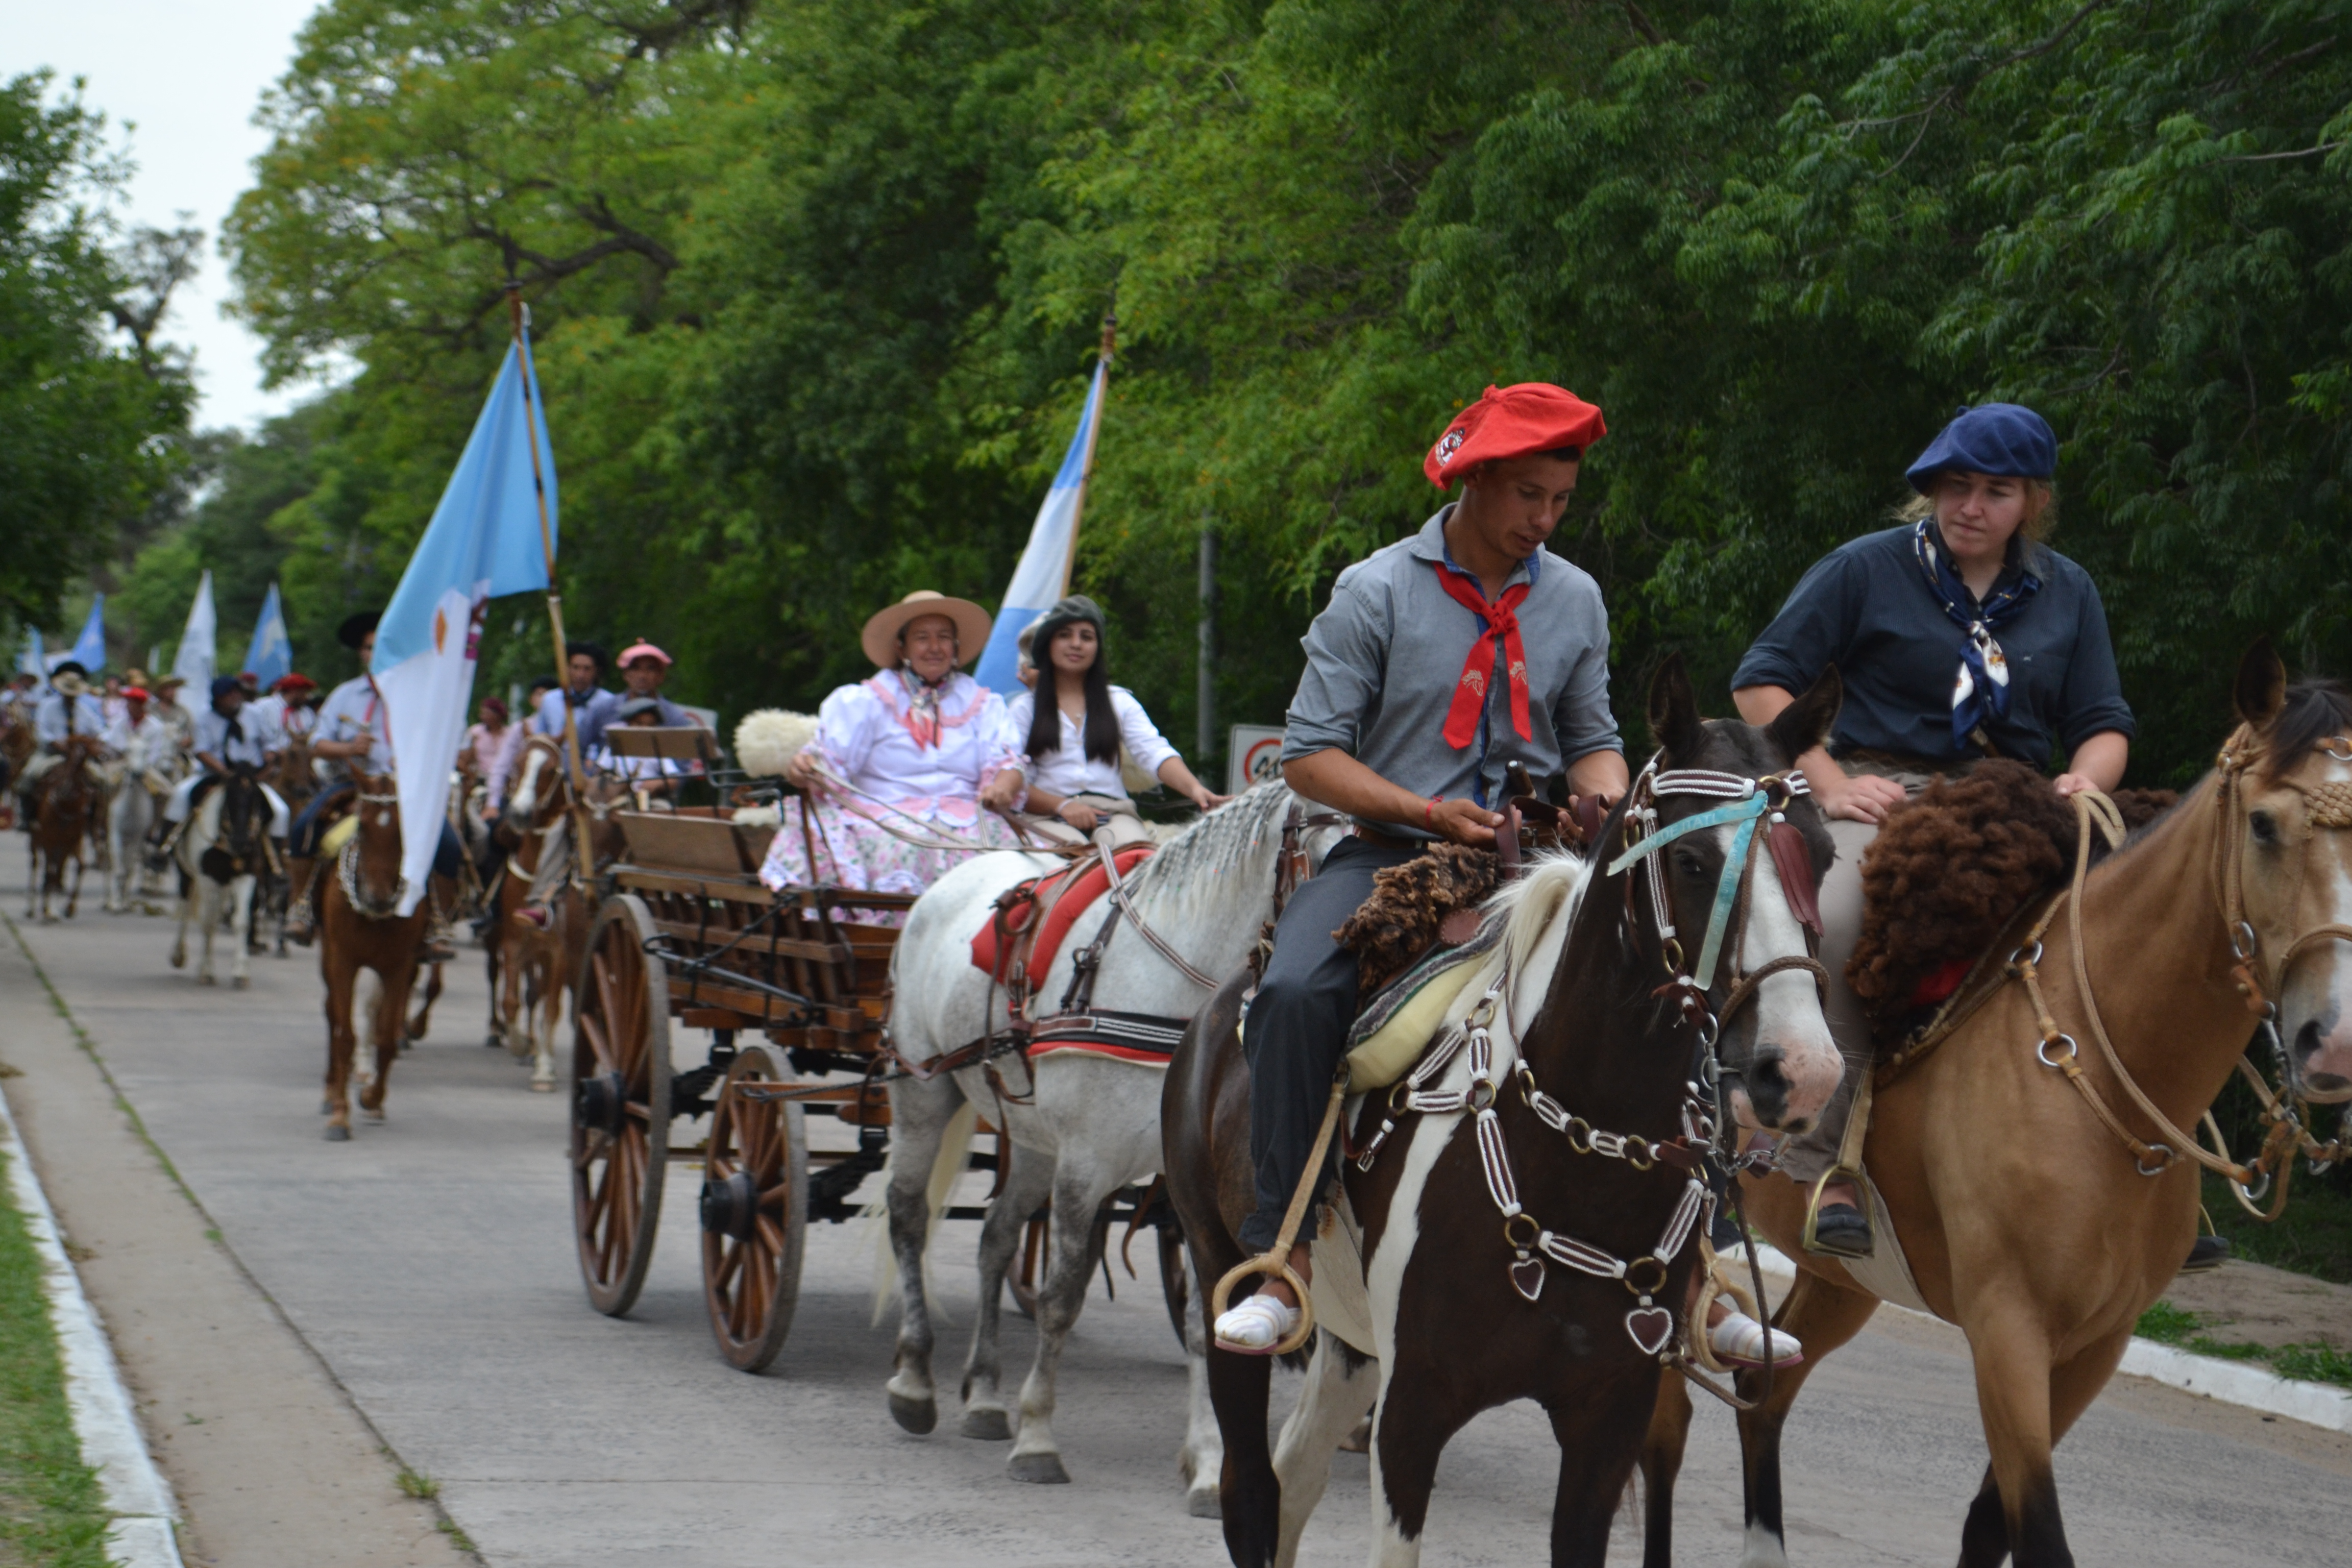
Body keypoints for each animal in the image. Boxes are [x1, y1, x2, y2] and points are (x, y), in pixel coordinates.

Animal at [1166, 658, 1844, 1568]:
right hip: (1221, 1272)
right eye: (1695, 862)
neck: (1579, 1160)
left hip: (1351, 1345)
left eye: (1825, 856)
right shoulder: (1414, 1410)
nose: (1802, 1072)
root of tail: (1218, 1005)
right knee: (1253, 1495)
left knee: (1296, 1475)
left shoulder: (1608, 1419)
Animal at [1646, 639, 2352, 1568]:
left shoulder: (2098, 1343)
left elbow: (1991, 1521)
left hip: (1844, 1283)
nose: (2331, 1040)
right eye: (2263, 824)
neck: (2094, 1066)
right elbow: (2038, 1530)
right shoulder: (2006, 1331)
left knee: (1764, 1393)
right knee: (1661, 1423)